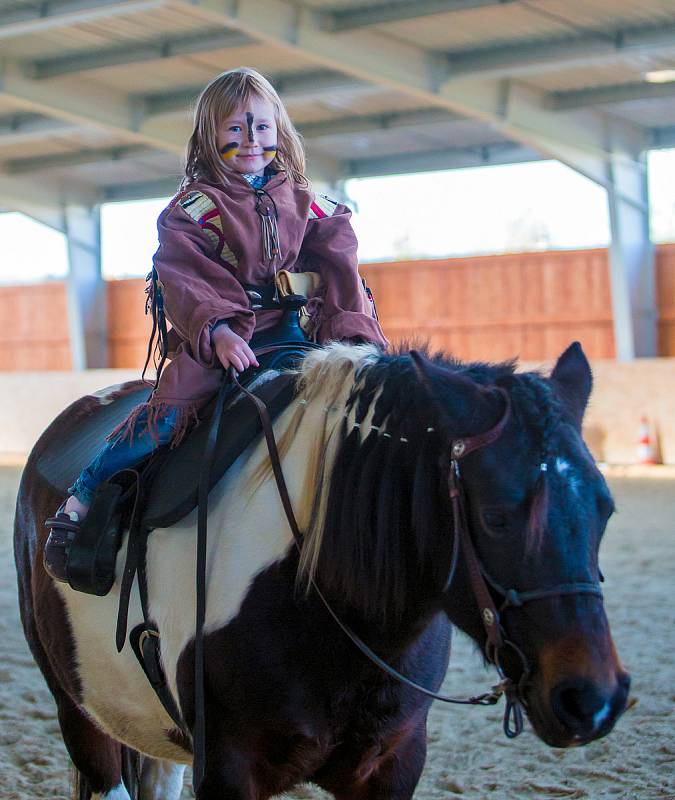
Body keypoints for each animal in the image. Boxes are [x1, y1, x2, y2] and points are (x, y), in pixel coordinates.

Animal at [14, 340, 628, 796]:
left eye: (605, 508)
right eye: (496, 517)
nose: (592, 699)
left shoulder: (392, 765)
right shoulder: (228, 769)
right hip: (80, 714)